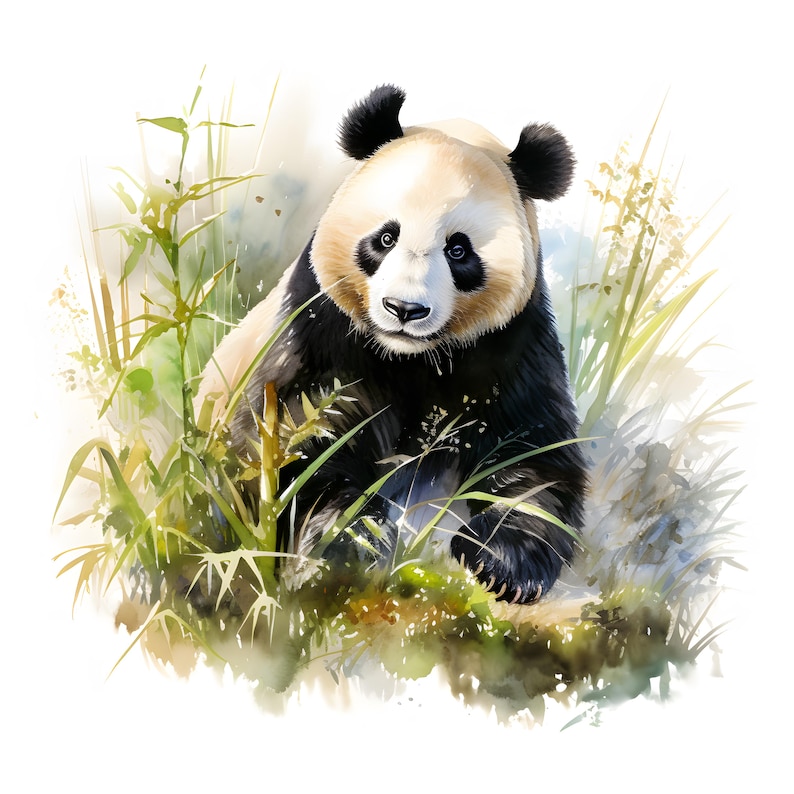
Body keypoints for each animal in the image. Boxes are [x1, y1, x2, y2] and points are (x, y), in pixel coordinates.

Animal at [196, 85, 587, 604]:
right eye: (385, 237)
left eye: (458, 250)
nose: (404, 309)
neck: (411, 358)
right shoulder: (319, 327)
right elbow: (300, 436)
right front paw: (349, 540)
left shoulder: (512, 339)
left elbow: (533, 449)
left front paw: (500, 561)